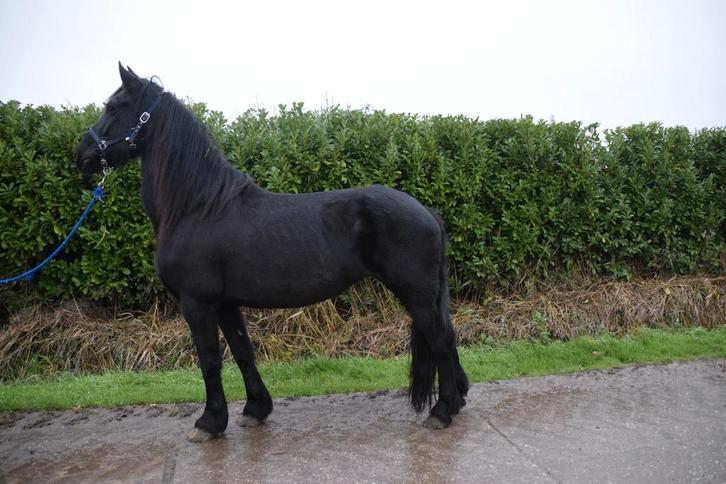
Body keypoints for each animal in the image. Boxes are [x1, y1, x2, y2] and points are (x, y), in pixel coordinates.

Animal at [74, 64, 469, 442]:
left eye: (113, 107)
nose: (82, 155)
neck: (199, 207)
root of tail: (427, 212)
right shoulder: (225, 303)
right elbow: (242, 352)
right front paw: (255, 409)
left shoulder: (196, 303)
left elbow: (210, 360)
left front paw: (209, 422)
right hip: (426, 295)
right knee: (444, 338)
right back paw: (456, 400)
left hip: (414, 294)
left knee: (440, 340)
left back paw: (442, 411)